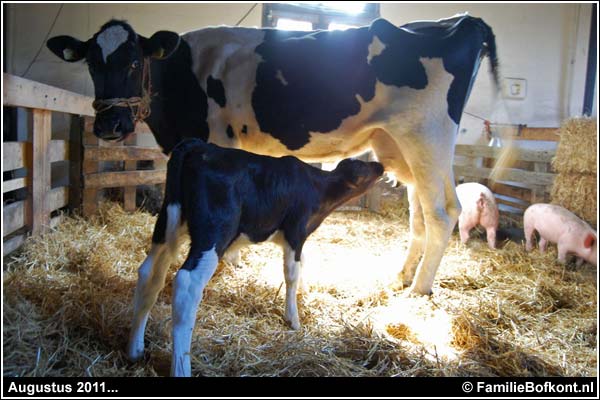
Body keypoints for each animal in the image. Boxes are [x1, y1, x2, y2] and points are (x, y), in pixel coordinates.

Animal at [45, 14, 496, 296]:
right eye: (91, 64)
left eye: (135, 62)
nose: (110, 125)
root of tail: (460, 21)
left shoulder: (214, 138)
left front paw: (229, 261)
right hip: (400, 146)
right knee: (419, 212)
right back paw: (401, 276)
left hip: (427, 136)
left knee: (443, 212)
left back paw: (419, 289)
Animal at [127, 139, 384, 376]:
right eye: (362, 165)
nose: (380, 165)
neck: (318, 189)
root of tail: (199, 145)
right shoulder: (295, 231)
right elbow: (291, 274)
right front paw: (293, 318)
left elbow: (303, 264)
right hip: (214, 231)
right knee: (187, 284)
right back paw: (181, 368)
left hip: (168, 225)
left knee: (149, 273)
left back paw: (135, 348)